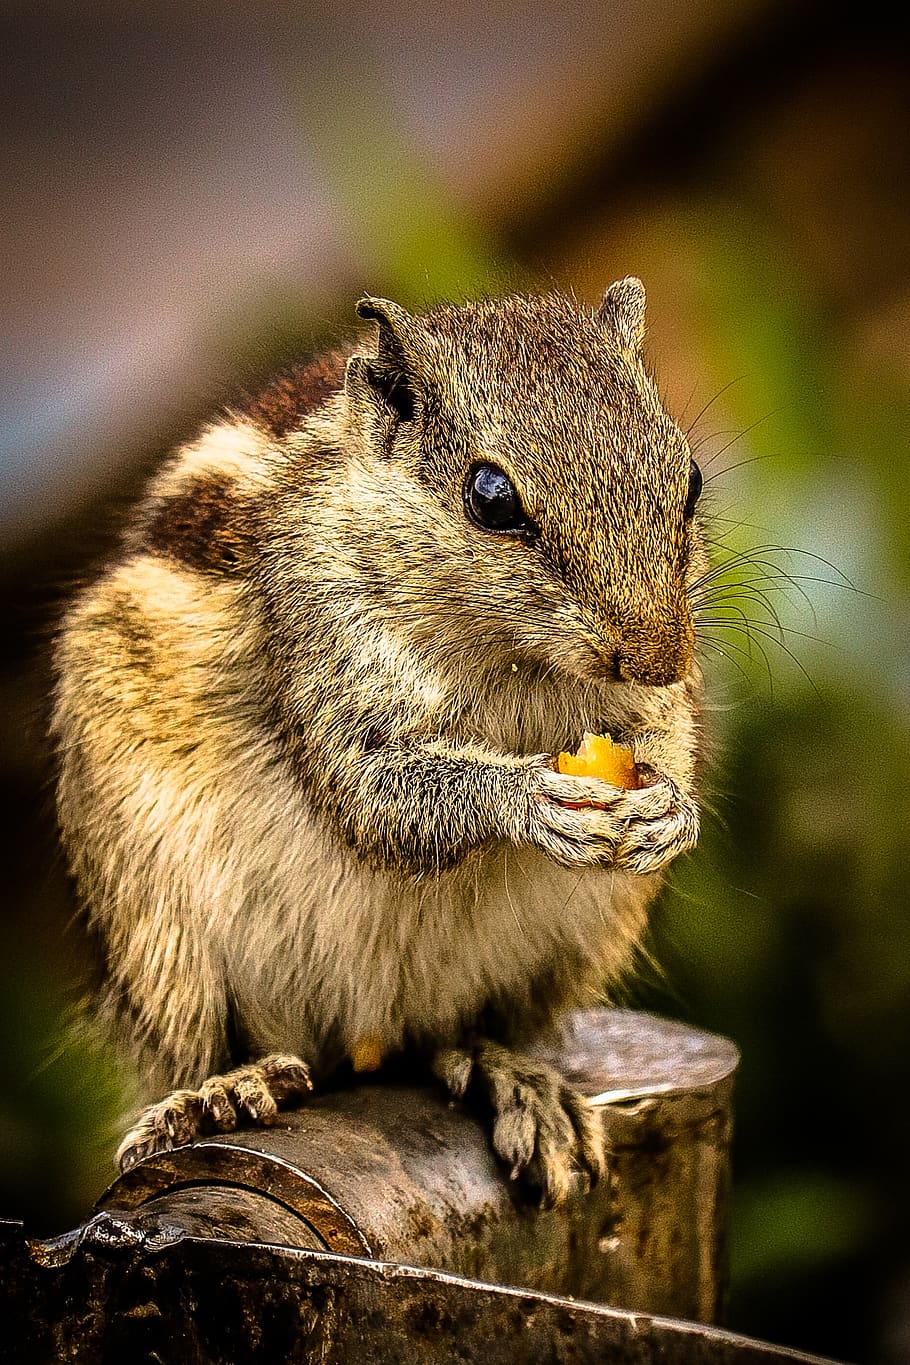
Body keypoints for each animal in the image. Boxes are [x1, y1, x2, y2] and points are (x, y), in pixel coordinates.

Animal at [52, 277, 704, 1204]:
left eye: (689, 478)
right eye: (491, 497)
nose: (658, 656)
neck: (513, 660)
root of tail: (363, 1036)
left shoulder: (640, 707)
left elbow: (661, 731)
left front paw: (670, 810)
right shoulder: (318, 636)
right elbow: (375, 794)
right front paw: (529, 798)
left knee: (451, 1038)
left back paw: (506, 1072)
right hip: (161, 932)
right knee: (202, 1042)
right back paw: (222, 1090)